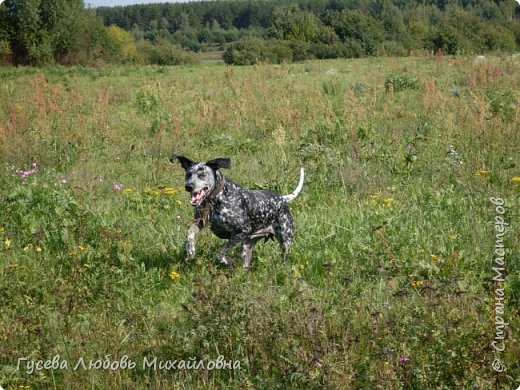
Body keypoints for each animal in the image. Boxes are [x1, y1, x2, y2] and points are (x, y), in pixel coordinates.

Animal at [171, 155, 304, 268]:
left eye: (202, 175)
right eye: (188, 174)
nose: (188, 186)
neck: (215, 200)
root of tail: (282, 198)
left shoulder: (241, 231)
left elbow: (221, 253)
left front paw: (225, 261)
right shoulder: (200, 222)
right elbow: (189, 233)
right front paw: (190, 249)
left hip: (285, 241)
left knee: (285, 255)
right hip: (246, 246)